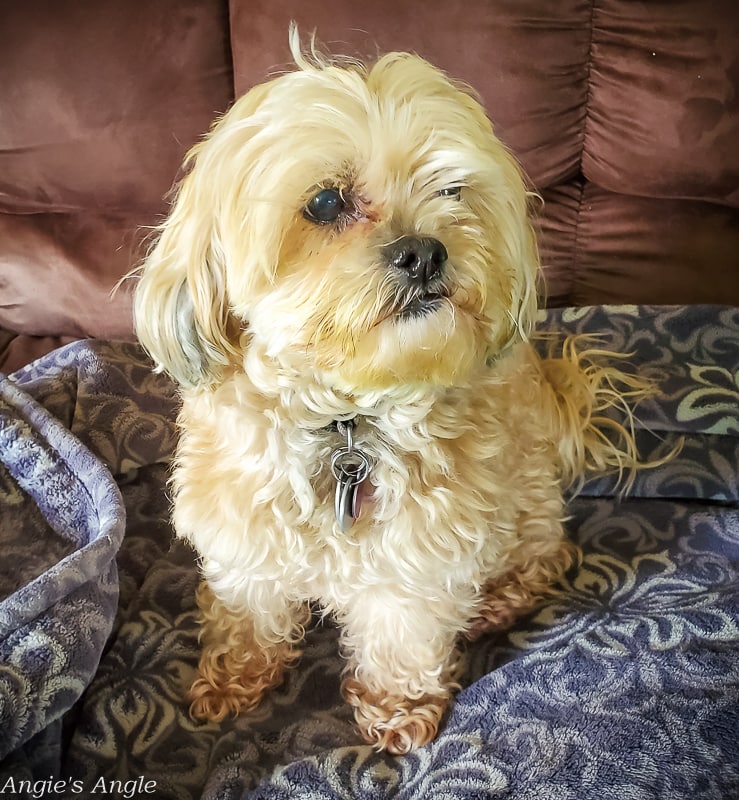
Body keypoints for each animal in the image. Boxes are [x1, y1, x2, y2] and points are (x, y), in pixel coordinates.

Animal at [133, 31, 648, 756]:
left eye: (451, 189)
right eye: (325, 203)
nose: (425, 251)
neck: (345, 420)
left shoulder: (418, 562)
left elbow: (401, 639)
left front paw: (396, 710)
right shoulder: (243, 540)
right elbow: (248, 615)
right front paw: (233, 678)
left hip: (527, 501)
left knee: (546, 552)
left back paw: (501, 599)